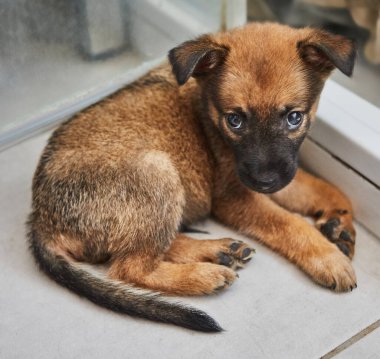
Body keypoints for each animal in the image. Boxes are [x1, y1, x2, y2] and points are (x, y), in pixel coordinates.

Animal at [28, 21, 358, 332]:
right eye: (234, 120)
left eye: (294, 118)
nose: (264, 182)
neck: (205, 105)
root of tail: (41, 219)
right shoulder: (234, 195)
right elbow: (289, 223)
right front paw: (327, 257)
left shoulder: (278, 171)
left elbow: (328, 189)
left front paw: (339, 223)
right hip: (157, 169)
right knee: (129, 267)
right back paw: (204, 275)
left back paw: (218, 250)